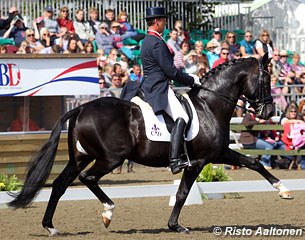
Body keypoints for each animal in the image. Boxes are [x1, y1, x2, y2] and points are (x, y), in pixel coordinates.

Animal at [8, 55, 290, 235]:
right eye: (266, 79)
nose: (268, 111)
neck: (209, 105)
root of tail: (80, 108)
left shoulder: (217, 154)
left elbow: (252, 163)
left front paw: (284, 190)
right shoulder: (202, 159)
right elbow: (183, 192)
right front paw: (176, 226)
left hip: (80, 157)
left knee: (59, 185)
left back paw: (51, 226)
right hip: (110, 158)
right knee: (88, 178)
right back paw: (108, 212)